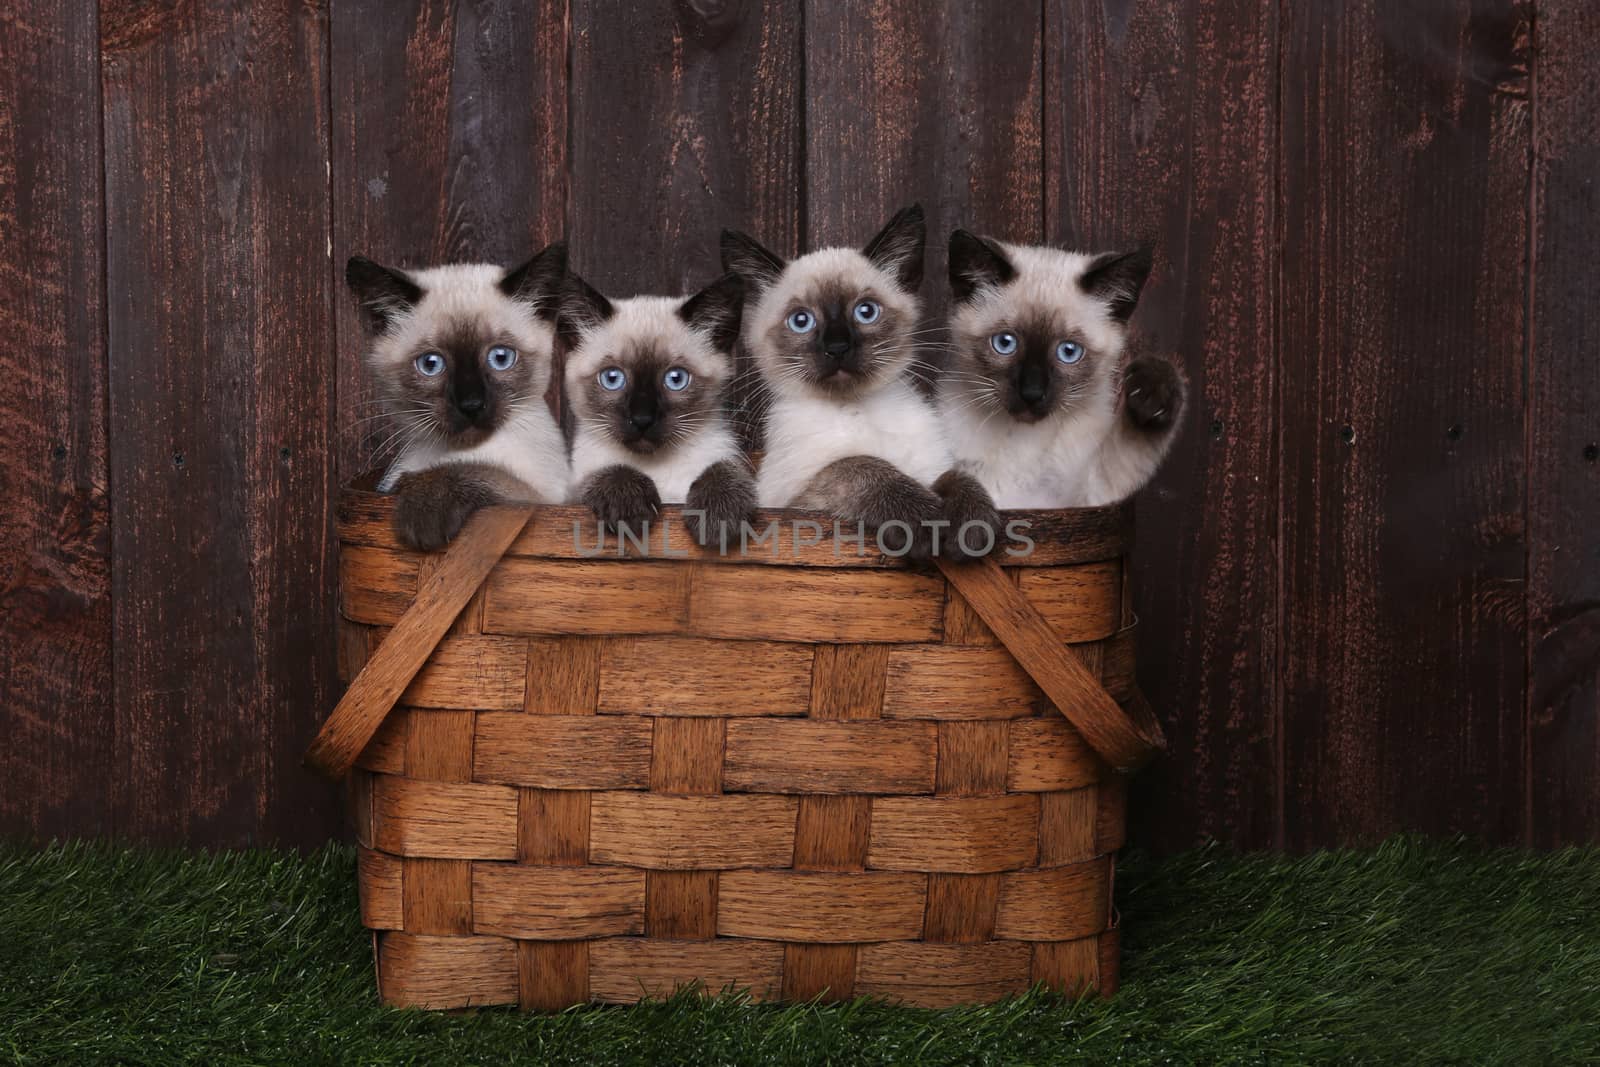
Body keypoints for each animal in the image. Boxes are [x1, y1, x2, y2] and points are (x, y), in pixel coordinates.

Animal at [347, 244, 572, 550]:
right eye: (431, 364)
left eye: (500, 358)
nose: (471, 405)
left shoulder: (546, 501)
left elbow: (482, 472)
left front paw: (425, 506)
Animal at [560, 271, 752, 547]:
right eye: (612, 378)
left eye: (676, 379)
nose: (642, 419)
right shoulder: (567, 496)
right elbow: (602, 473)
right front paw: (628, 508)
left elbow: (724, 469)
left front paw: (718, 520)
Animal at [720, 203, 992, 563]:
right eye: (801, 320)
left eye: (866, 312)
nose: (837, 348)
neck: (855, 407)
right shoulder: (789, 504)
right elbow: (855, 464)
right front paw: (923, 520)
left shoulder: (933, 466)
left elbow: (956, 475)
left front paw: (973, 526)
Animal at [934, 235, 1190, 511]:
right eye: (1005, 343)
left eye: (1068, 352)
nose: (1032, 393)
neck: (1024, 439)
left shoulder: (1086, 500)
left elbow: (1127, 451)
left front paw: (1151, 393)